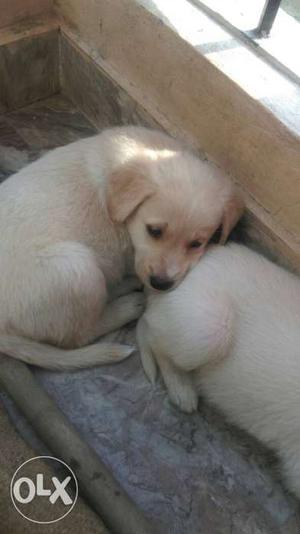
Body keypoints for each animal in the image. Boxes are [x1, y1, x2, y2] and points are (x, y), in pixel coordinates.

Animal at [0, 127, 243, 370]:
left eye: (196, 244)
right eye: (154, 231)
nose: (161, 284)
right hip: (76, 268)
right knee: (79, 335)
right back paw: (126, 306)